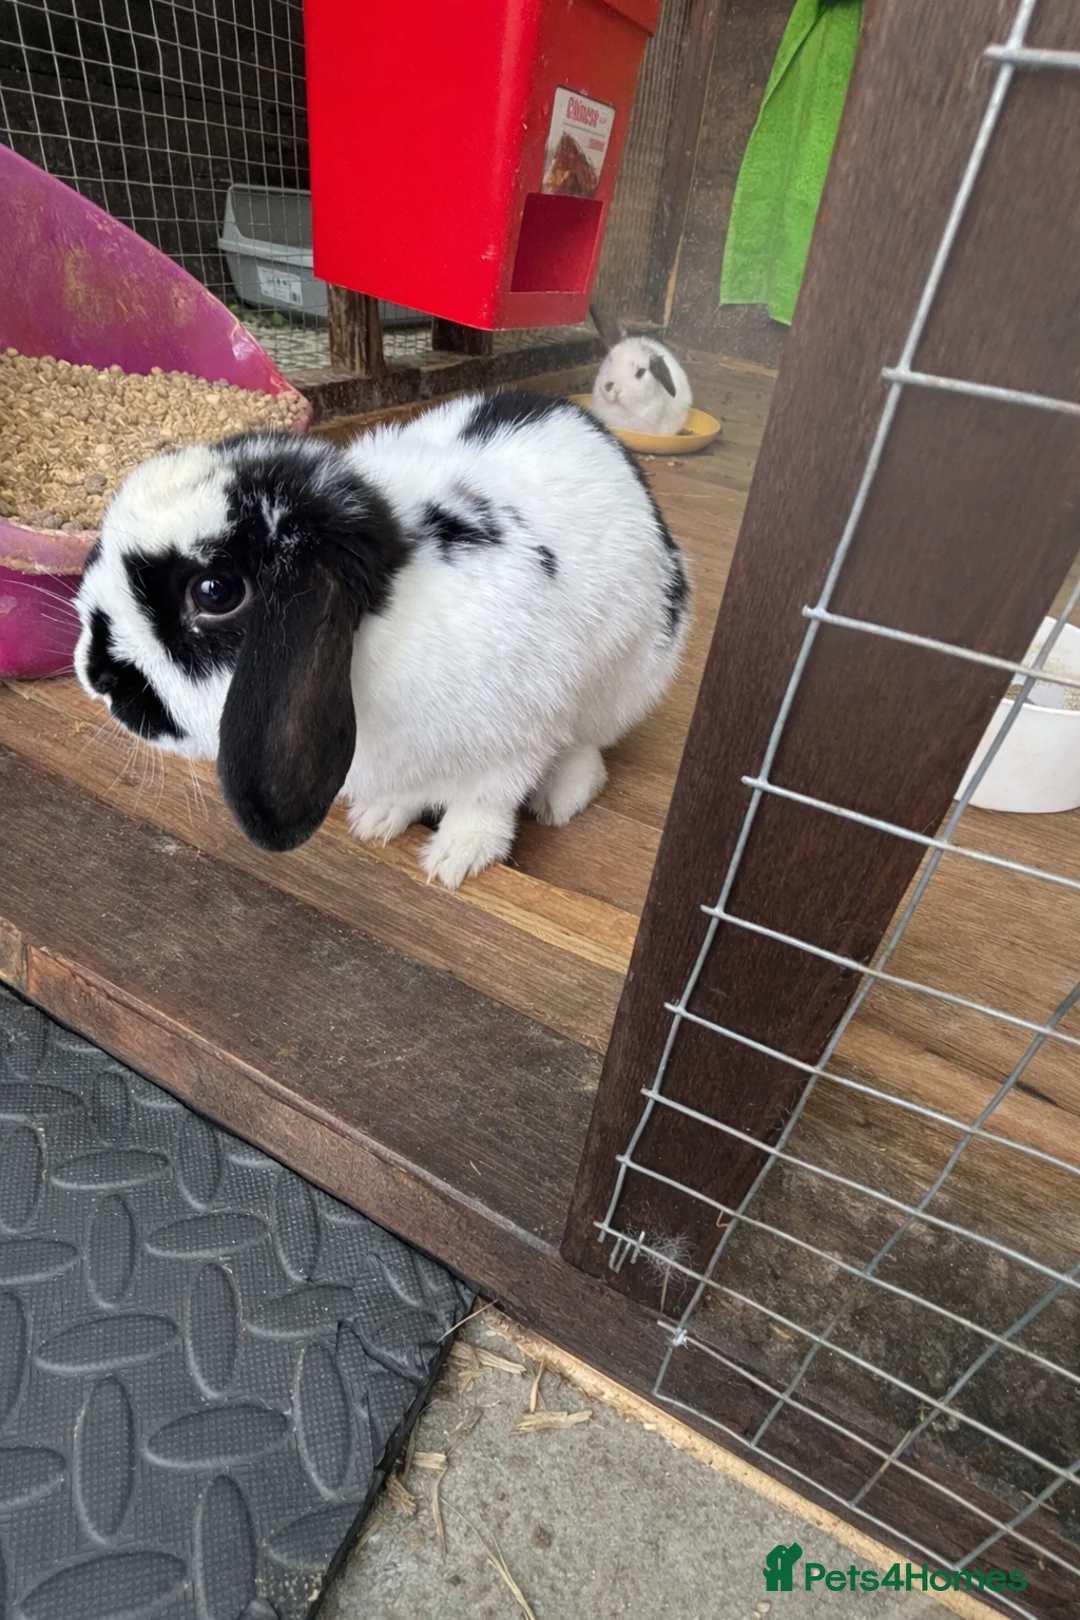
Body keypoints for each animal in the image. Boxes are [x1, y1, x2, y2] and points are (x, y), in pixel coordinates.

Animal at [74, 389, 691, 889]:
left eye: (215, 591)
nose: (95, 677)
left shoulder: (516, 741)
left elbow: (484, 802)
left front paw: (455, 858)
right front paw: (380, 819)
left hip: (628, 679)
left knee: (588, 746)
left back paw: (560, 797)